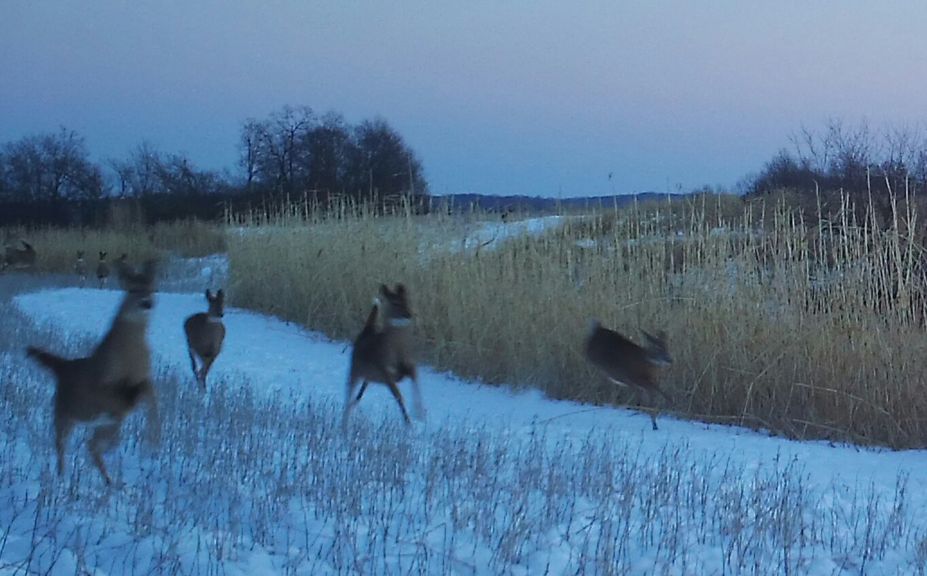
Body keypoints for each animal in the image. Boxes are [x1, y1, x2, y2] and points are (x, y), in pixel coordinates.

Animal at [25, 258, 162, 484]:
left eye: (153, 288)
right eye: (132, 288)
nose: (147, 303)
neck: (131, 355)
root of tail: (63, 366)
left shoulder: (145, 375)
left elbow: (151, 394)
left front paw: (154, 434)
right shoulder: (102, 382)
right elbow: (119, 395)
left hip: (91, 423)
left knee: (92, 446)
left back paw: (110, 481)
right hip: (64, 413)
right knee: (66, 444)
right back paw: (62, 477)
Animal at [342, 284, 426, 428]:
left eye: (407, 300)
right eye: (395, 302)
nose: (409, 314)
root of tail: (367, 329)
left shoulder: (406, 366)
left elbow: (415, 377)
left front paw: (420, 413)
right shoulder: (385, 372)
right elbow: (399, 396)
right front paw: (408, 423)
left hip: (368, 375)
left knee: (360, 392)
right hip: (355, 369)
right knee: (350, 390)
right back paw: (345, 422)